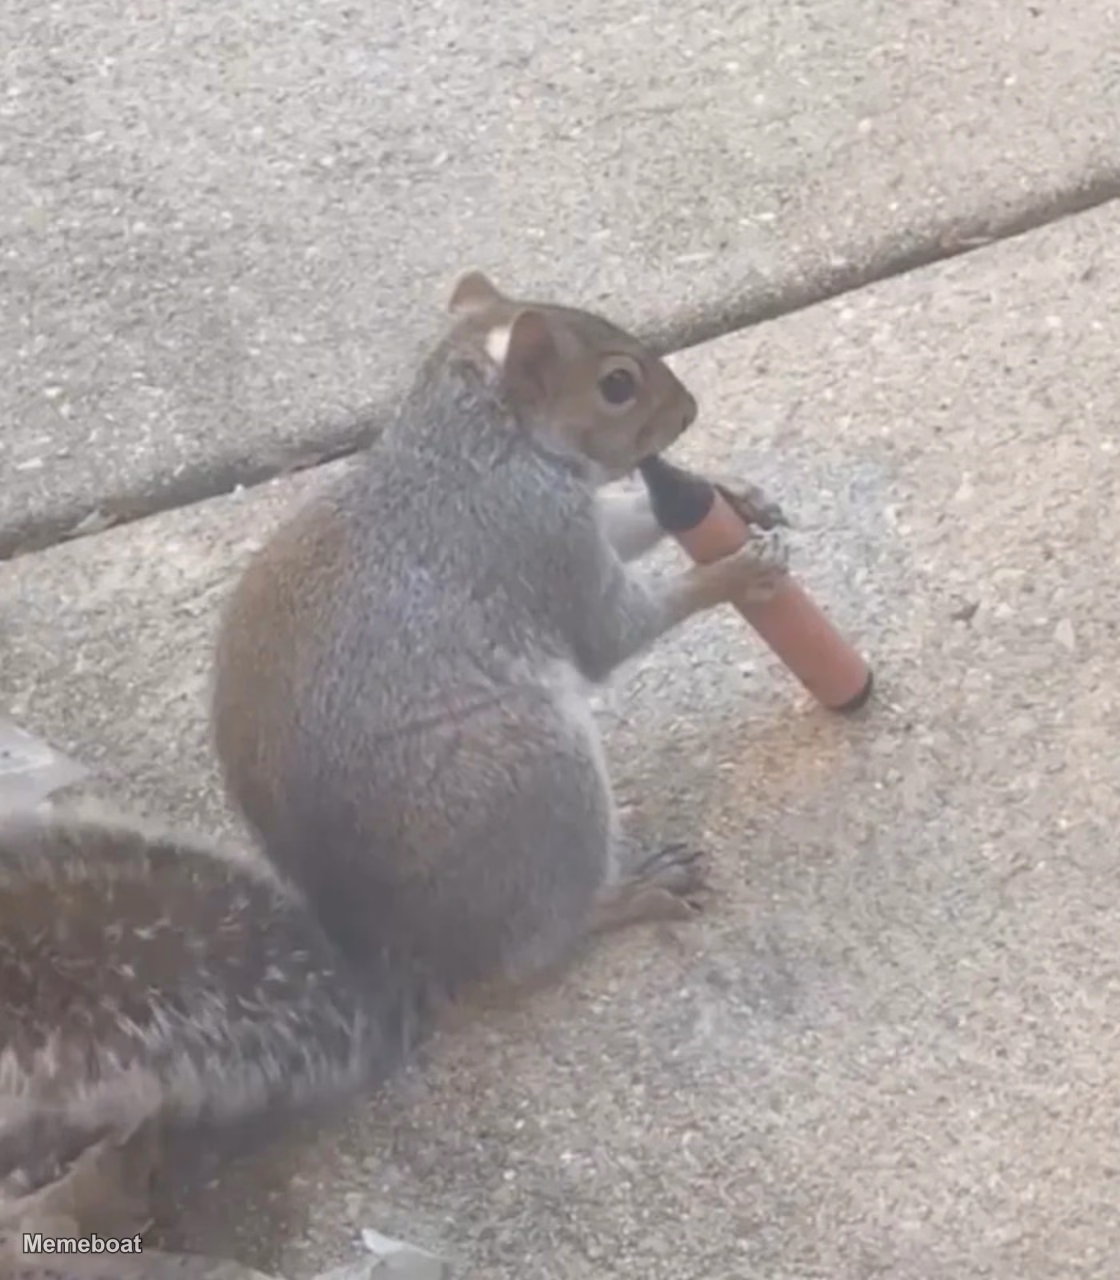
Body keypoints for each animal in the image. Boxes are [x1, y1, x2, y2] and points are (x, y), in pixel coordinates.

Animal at [0, 271, 789, 1253]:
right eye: (616, 384)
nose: (689, 412)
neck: (477, 443)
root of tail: (397, 956)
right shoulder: (536, 543)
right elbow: (613, 631)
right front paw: (741, 571)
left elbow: (631, 520)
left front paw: (732, 493)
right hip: (535, 781)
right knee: (525, 952)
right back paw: (627, 895)